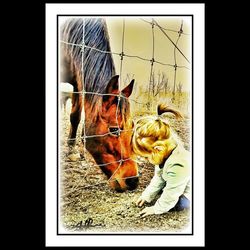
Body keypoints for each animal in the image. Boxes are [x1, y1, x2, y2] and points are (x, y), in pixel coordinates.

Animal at [60, 18, 139, 191]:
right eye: (114, 129)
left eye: (133, 128)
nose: (133, 181)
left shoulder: (78, 81)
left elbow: (75, 116)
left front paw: (71, 149)